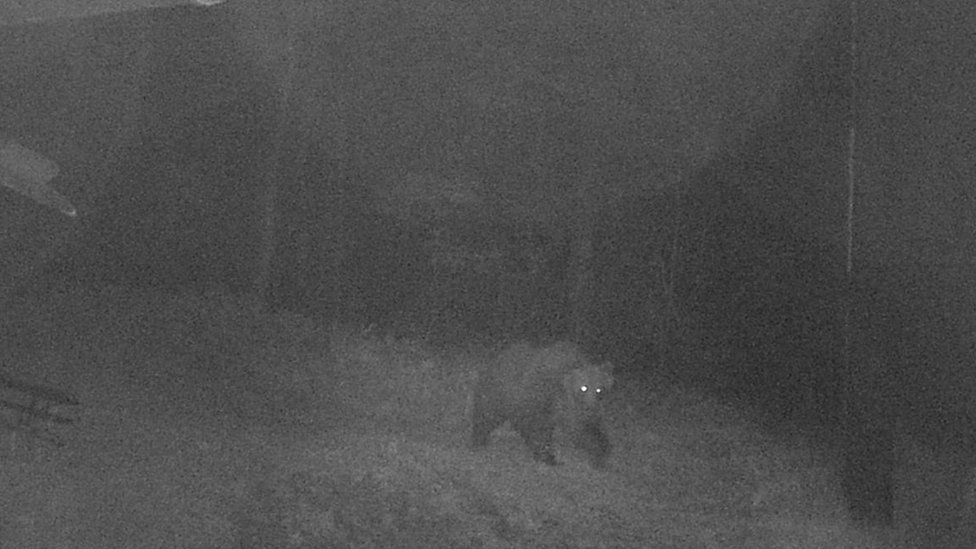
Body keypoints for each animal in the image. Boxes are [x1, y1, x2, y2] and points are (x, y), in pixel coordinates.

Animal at [468, 342, 612, 466]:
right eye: (583, 387)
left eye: (599, 389)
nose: (590, 407)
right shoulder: (544, 403)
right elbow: (541, 430)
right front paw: (547, 456)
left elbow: (588, 430)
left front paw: (600, 450)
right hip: (498, 394)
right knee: (487, 416)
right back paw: (479, 440)